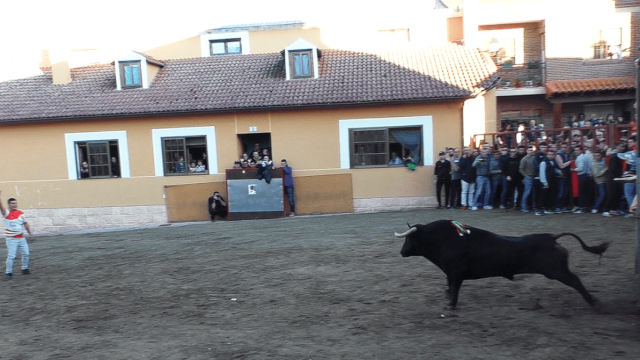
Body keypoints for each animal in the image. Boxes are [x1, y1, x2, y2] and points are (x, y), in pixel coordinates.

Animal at [396, 219, 608, 310]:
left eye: (409, 239)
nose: (402, 252)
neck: (443, 239)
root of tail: (551, 237)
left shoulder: (456, 273)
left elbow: (454, 290)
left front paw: (451, 306)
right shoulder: (450, 274)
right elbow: (450, 288)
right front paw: (448, 301)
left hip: (557, 271)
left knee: (576, 280)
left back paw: (594, 302)